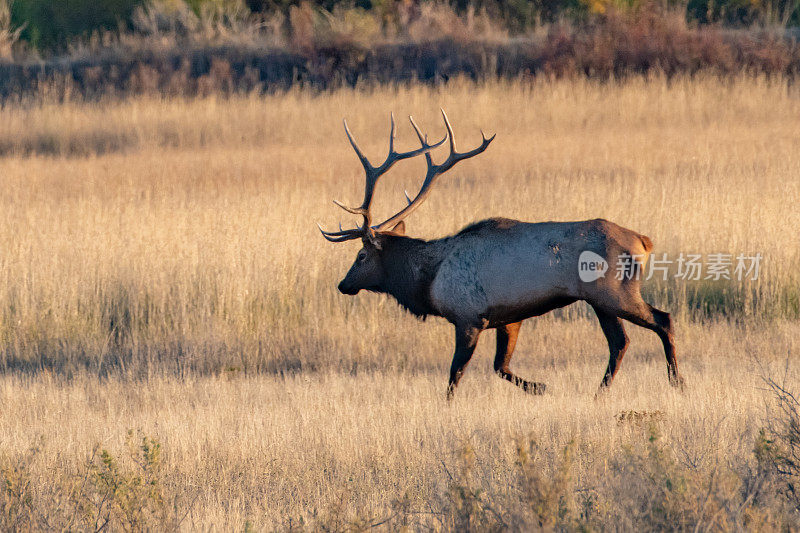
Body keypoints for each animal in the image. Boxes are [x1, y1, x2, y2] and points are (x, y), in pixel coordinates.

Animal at [322, 110, 684, 396]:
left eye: (361, 256)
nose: (342, 284)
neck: (428, 281)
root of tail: (644, 241)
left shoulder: (468, 316)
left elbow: (455, 375)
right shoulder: (508, 317)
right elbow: (501, 366)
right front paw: (539, 387)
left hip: (615, 292)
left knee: (661, 320)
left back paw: (676, 381)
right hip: (599, 301)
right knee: (620, 342)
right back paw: (600, 393)